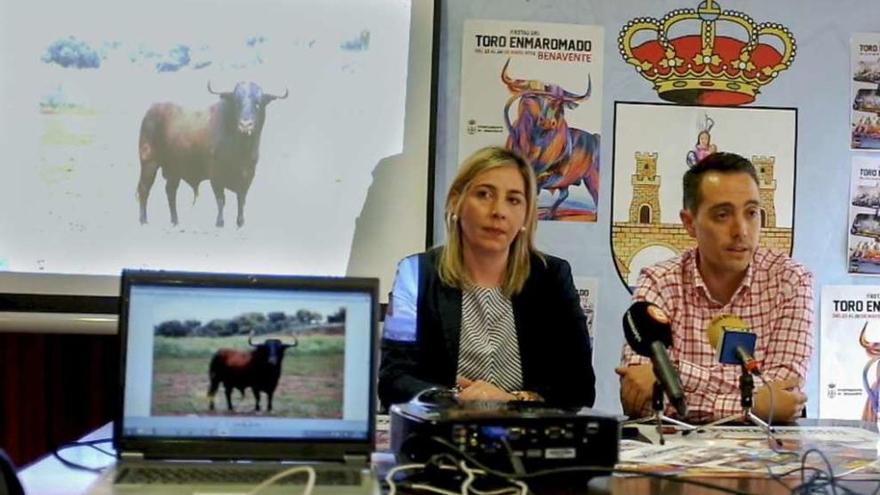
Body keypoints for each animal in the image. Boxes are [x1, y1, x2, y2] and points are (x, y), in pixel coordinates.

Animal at [138, 81, 288, 229]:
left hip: (174, 169)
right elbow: (221, 199)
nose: (245, 125)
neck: (240, 150)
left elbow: (241, 199)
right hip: (148, 163)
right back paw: (143, 220)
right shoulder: (216, 175)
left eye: (258, 103)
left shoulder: (248, 174)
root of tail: (152, 109)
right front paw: (220, 222)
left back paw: (175, 221)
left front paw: (240, 222)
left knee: (170, 191)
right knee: (144, 189)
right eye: (236, 102)